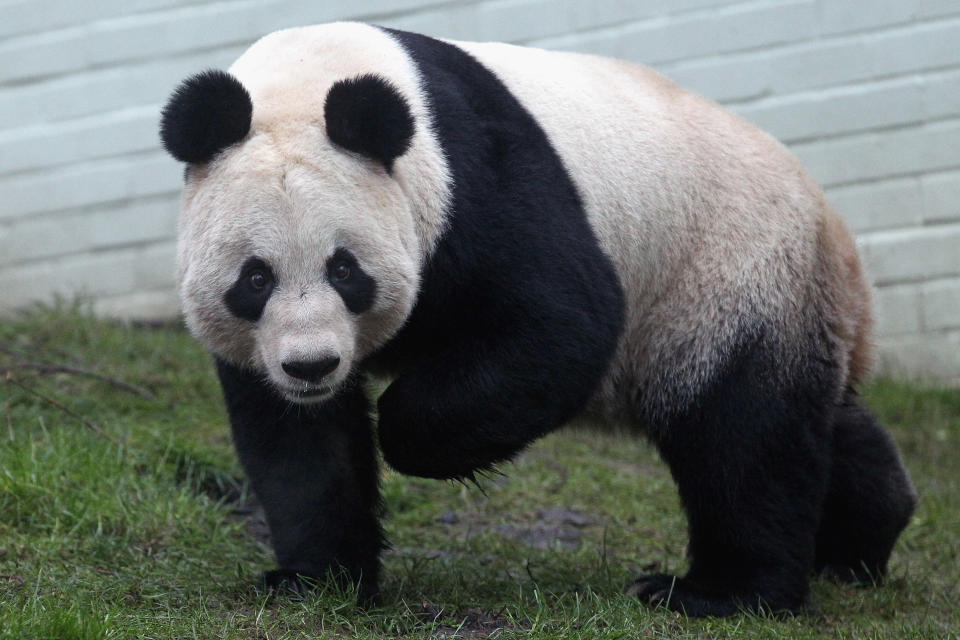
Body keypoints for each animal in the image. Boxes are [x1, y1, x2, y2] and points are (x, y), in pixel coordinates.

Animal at [161, 23, 920, 616]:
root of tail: (834, 230)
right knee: (814, 420)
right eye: (255, 279)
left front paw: (407, 433)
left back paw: (720, 592)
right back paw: (860, 543)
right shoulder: (265, 344)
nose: (313, 365)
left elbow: (565, 320)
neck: (306, 80)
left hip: (725, 272)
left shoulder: (469, 177)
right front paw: (313, 579)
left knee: (742, 436)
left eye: (345, 270)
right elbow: (299, 445)